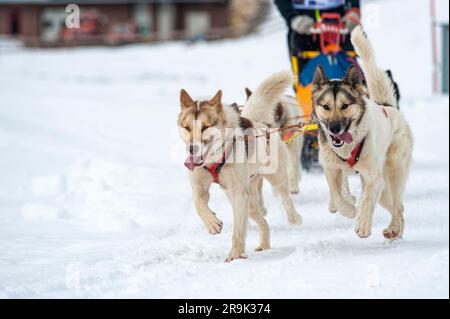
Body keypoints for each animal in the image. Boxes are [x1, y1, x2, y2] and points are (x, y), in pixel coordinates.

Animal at [178, 71, 300, 262]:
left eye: (205, 127)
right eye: (187, 127)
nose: (192, 148)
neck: (213, 159)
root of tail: (262, 125)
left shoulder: (239, 196)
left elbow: (238, 232)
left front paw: (235, 256)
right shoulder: (200, 188)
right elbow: (198, 203)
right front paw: (212, 223)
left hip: (273, 181)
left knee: (286, 198)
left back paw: (294, 217)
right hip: (249, 202)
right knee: (263, 222)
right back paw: (264, 244)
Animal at [314, 25, 414, 240]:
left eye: (345, 105)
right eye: (326, 106)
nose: (334, 128)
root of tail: (388, 107)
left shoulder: (374, 177)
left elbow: (367, 198)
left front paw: (362, 224)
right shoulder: (331, 169)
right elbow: (336, 194)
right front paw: (349, 209)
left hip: (392, 172)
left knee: (396, 205)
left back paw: (393, 227)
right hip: (384, 190)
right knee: (398, 206)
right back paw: (395, 230)